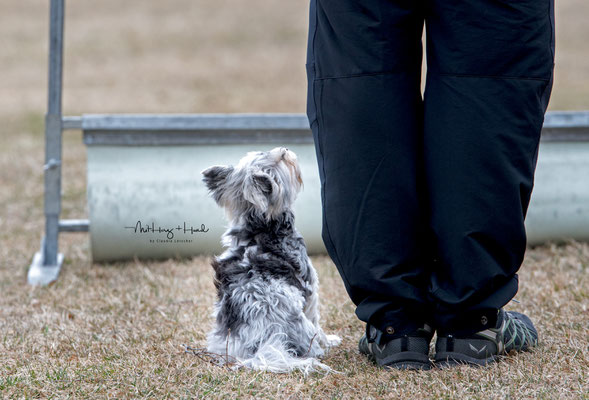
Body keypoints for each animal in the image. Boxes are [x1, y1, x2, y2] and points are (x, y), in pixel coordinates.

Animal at [201, 148, 340, 374]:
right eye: (282, 160)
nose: (284, 150)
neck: (259, 226)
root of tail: (263, 340)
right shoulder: (311, 291)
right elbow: (318, 321)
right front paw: (330, 339)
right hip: (301, 324)